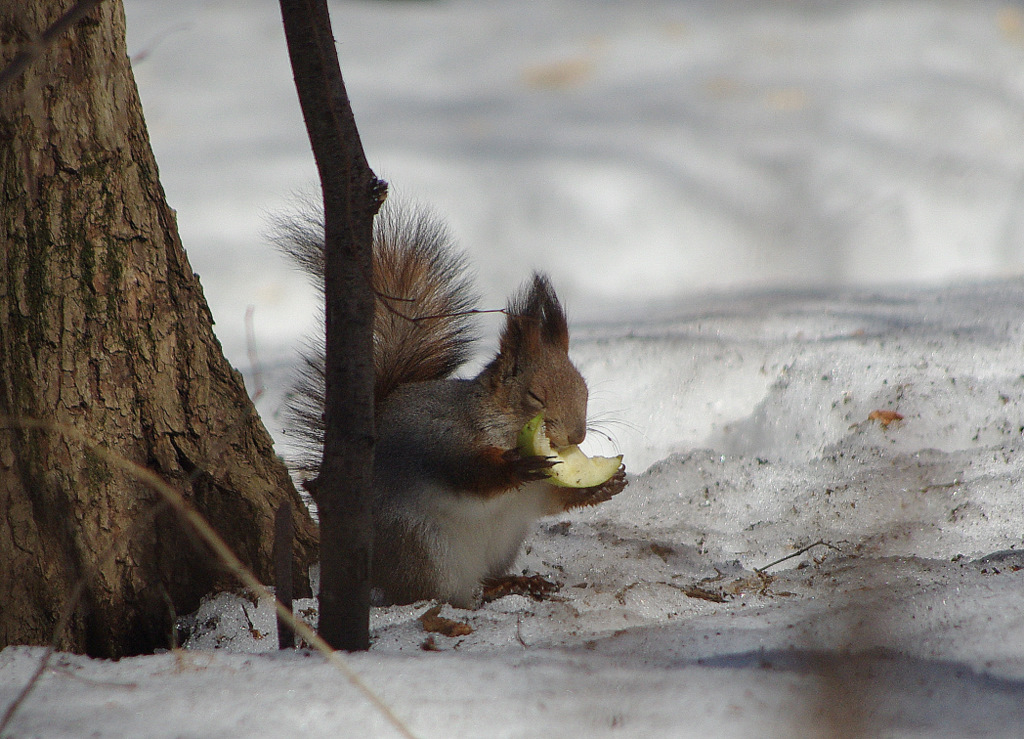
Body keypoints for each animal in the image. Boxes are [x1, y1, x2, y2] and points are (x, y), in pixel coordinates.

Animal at [276, 201, 622, 605]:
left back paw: (513, 583)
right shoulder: (442, 437)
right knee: (436, 592)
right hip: (425, 549)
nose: (577, 437)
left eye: (584, 389)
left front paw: (603, 486)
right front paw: (516, 466)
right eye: (535, 396)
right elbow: (469, 474)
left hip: (503, 541)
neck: (497, 422)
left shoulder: (536, 495)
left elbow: (554, 499)